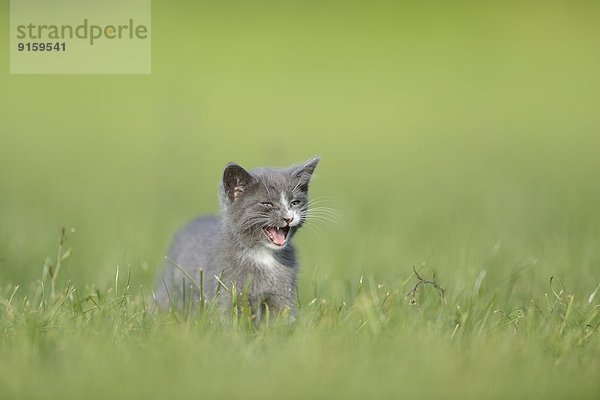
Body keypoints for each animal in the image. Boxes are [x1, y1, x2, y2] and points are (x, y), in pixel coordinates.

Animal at [157, 156, 322, 322]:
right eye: (267, 204)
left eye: (295, 203)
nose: (289, 217)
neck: (262, 254)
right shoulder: (228, 287)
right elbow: (231, 318)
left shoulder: (283, 291)